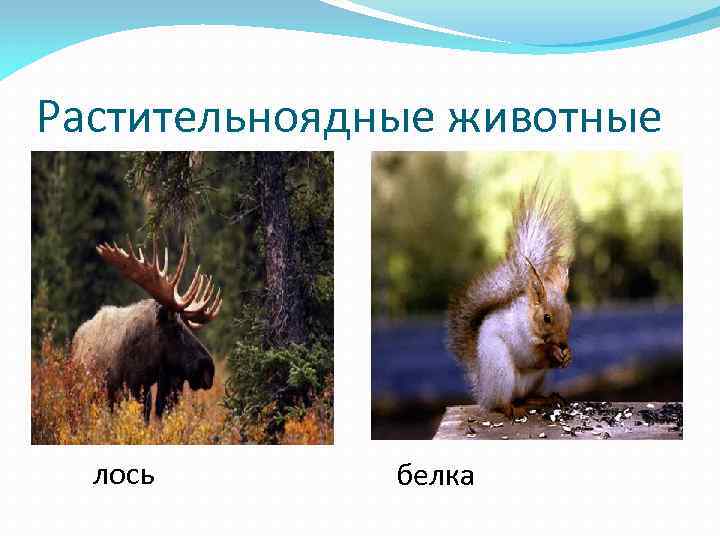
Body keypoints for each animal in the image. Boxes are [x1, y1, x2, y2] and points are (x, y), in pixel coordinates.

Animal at [447, 182, 574, 418]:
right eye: (546, 317)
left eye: (570, 314)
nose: (562, 343)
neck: (529, 322)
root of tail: (484, 391)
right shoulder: (519, 337)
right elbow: (530, 357)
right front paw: (553, 353)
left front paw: (568, 355)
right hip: (501, 372)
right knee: (502, 402)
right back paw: (511, 408)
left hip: (534, 381)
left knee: (525, 396)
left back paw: (542, 398)